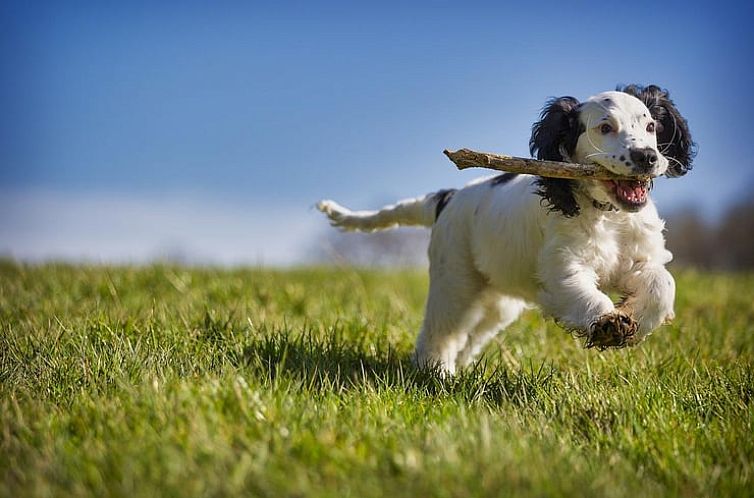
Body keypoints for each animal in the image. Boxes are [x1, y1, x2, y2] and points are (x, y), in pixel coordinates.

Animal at [314, 84, 692, 374]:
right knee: (441, 331)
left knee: (471, 336)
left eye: (651, 127)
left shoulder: (640, 259)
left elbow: (663, 284)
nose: (647, 158)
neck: (608, 216)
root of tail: (448, 197)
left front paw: (632, 319)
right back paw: (436, 372)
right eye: (605, 128)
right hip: (455, 281)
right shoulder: (563, 267)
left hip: (497, 301)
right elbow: (584, 292)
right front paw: (608, 324)